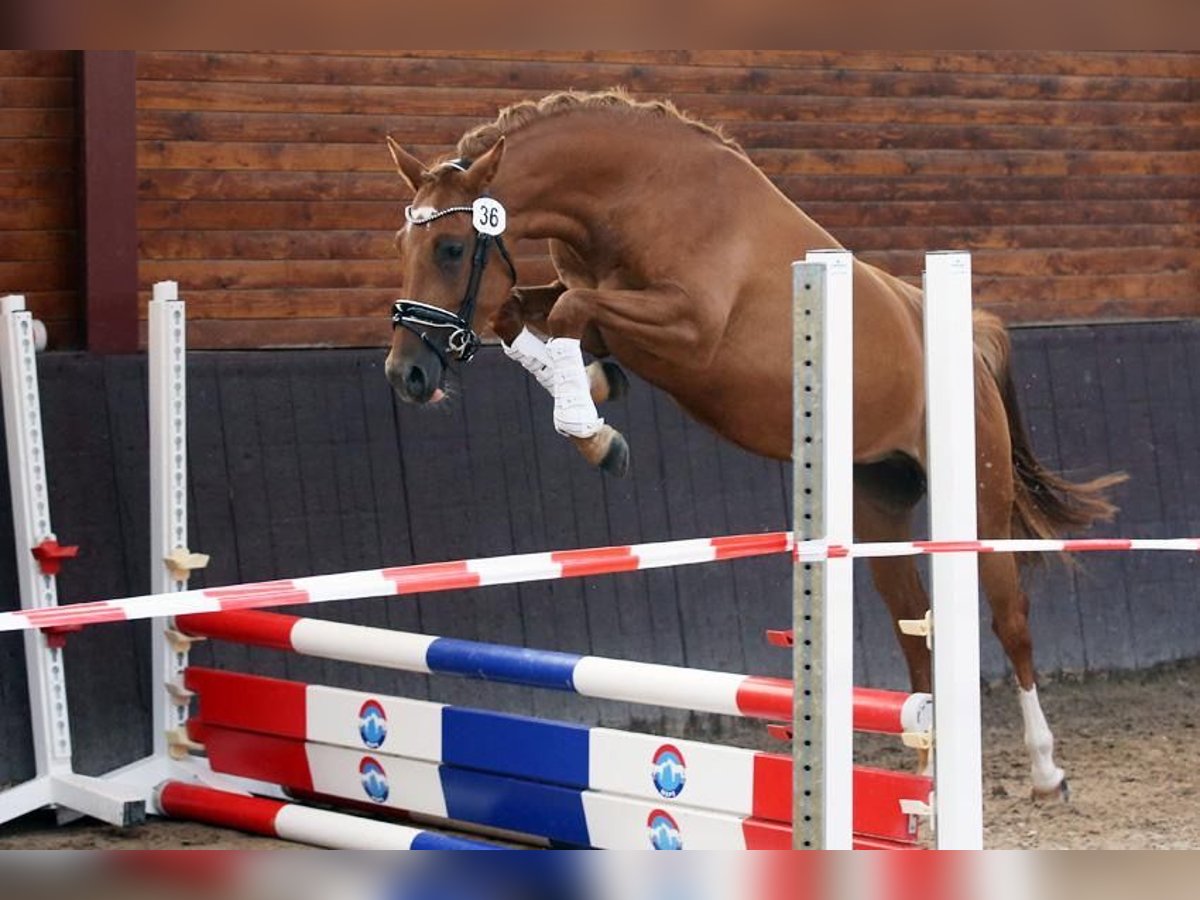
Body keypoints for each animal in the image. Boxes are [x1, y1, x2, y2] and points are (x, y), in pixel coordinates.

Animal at [384, 88, 1123, 801]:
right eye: (403, 245)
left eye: (451, 249)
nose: (406, 375)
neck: (637, 194)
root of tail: (970, 344)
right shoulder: (601, 308)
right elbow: (525, 313)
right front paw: (594, 401)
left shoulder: (689, 328)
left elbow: (569, 311)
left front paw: (592, 425)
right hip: (877, 504)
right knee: (915, 632)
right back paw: (927, 780)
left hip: (976, 494)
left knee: (1009, 619)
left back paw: (1045, 771)